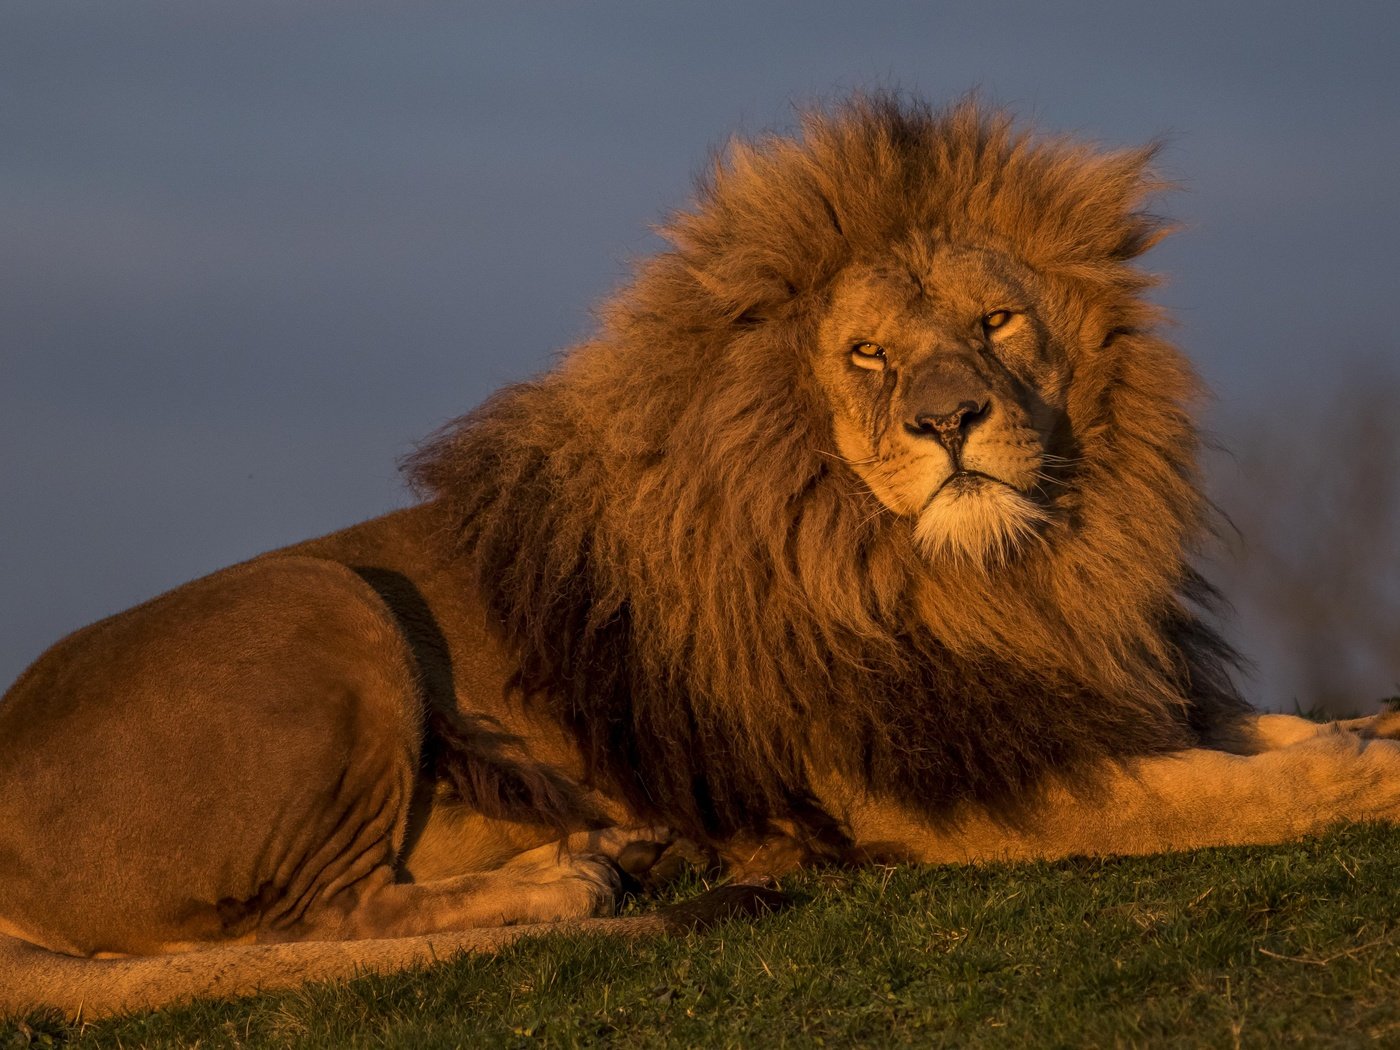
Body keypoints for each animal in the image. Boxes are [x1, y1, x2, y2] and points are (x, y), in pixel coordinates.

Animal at [2, 96, 1400, 1019]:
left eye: (998, 321)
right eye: (868, 355)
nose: (949, 420)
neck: (981, 580)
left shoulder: (1058, 702)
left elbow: (1256, 738)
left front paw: (1361, 731)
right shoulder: (938, 789)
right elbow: (1223, 793)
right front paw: (1361, 771)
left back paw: (636, 858)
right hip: (327, 601)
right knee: (333, 915)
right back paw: (569, 882)